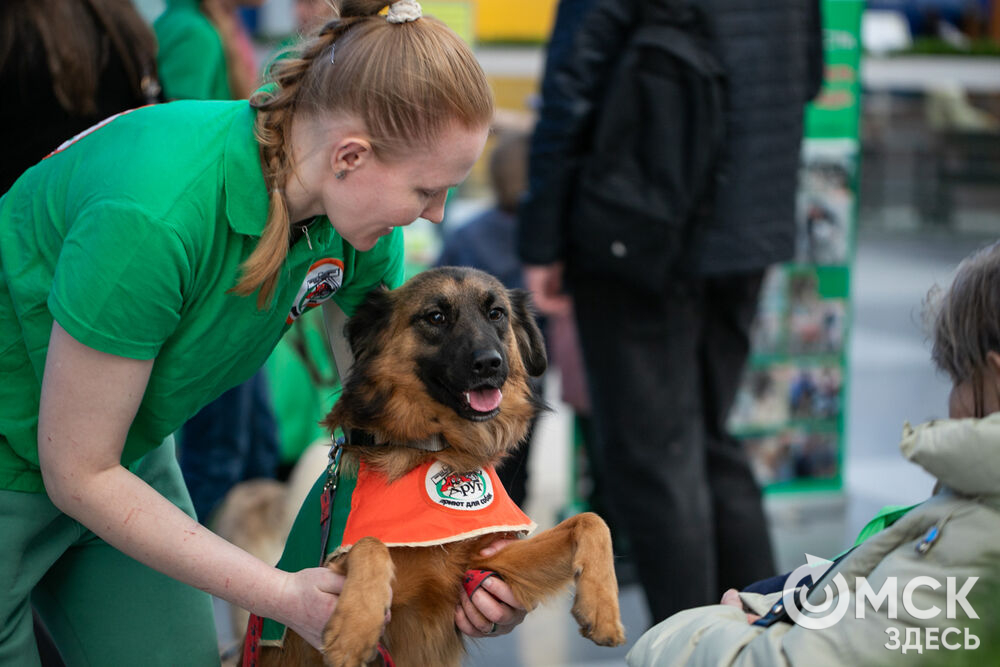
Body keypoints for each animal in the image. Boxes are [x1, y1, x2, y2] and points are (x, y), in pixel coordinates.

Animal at [252, 268, 624, 667]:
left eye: (496, 313)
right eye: (435, 317)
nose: (490, 363)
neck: (433, 447)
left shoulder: (486, 562)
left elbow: (591, 520)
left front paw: (602, 609)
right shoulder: (332, 566)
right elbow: (371, 543)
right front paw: (355, 628)